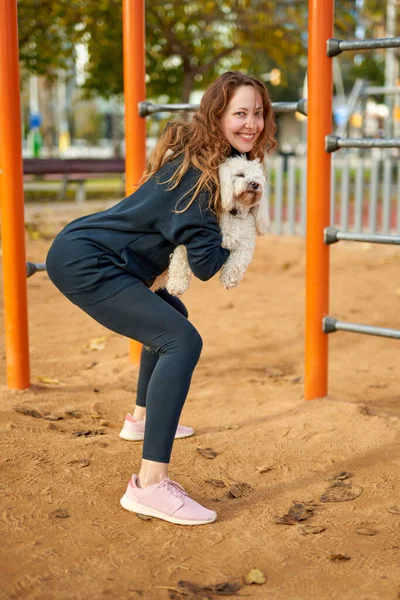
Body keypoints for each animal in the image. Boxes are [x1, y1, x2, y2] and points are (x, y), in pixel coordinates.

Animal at [152, 155, 270, 296]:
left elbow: (239, 260)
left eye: (258, 178)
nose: (255, 184)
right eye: (240, 175)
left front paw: (229, 278)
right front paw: (177, 285)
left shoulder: (245, 242)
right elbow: (180, 261)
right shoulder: (189, 242)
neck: (234, 212)